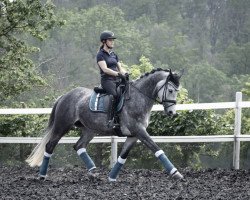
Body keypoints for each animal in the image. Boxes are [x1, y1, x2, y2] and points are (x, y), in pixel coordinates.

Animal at [25, 68, 184, 181]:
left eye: (177, 91)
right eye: (170, 90)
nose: (172, 112)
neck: (138, 97)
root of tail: (64, 96)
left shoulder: (133, 135)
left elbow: (123, 156)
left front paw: (111, 178)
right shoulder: (139, 131)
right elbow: (156, 148)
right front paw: (176, 173)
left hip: (89, 130)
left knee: (79, 146)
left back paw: (93, 172)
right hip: (62, 126)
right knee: (50, 146)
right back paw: (42, 176)